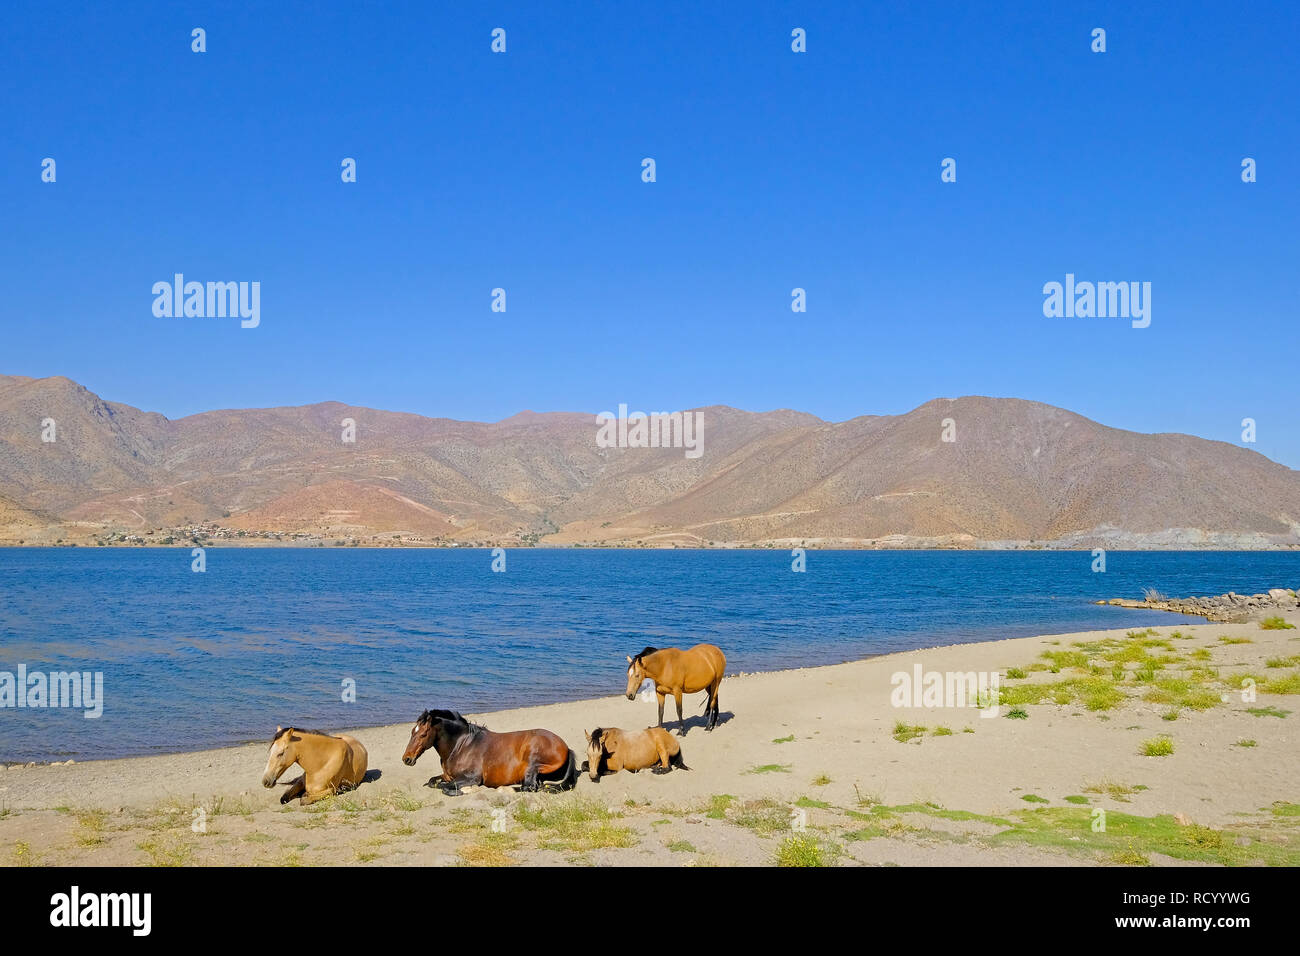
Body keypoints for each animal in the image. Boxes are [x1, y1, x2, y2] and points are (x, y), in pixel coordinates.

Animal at [397, 707, 577, 796]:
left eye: (423, 734)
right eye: (412, 731)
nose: (407, 759)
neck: (461, 746)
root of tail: (566, 747)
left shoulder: (471, 777)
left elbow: (445, 787)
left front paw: (466, 790)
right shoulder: (448, 775)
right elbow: (433, 782)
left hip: (533, 764)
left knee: (529, 787)